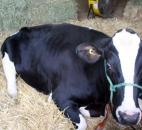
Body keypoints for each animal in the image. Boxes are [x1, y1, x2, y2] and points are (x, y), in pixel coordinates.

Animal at [1, 23, 142, 130]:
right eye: (109, 65)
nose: (129, 116)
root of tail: (22, 29)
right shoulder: (60, 96)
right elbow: (82, 123)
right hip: (7, 58)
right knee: (12, 87)